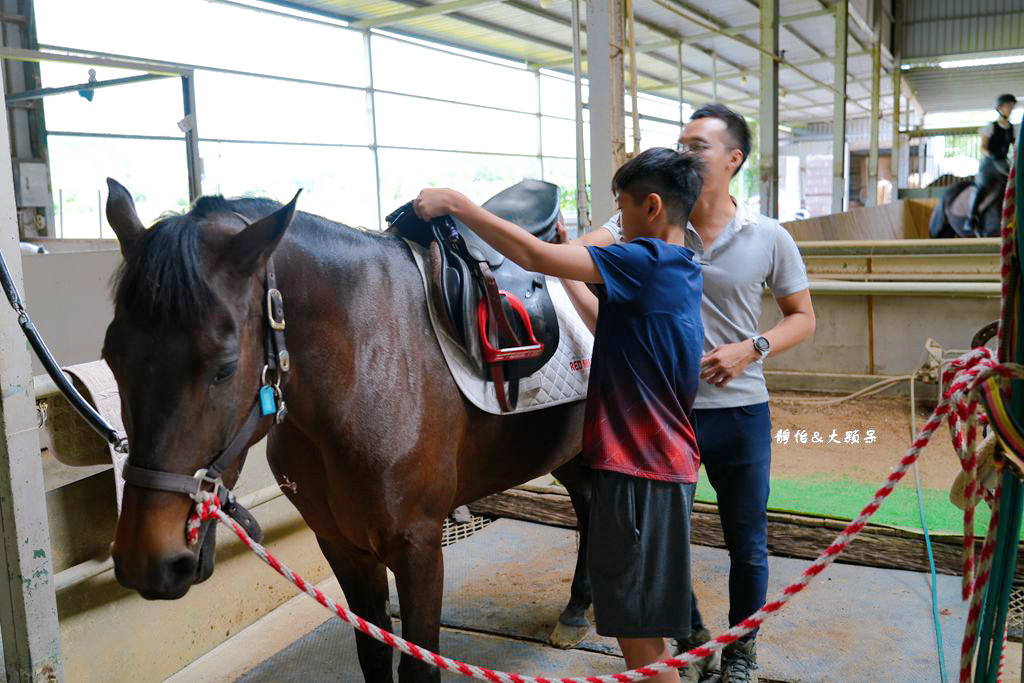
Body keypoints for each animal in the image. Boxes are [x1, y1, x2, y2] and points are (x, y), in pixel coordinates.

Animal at [99, 179, 598, 679]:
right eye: (112, 358)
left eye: (224, 367)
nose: (147, 559)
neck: (365, 363)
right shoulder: (341, 544)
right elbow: (373, 651)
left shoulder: (418, 548)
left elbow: (420, 665)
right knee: (587, 503)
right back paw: (577, 609)